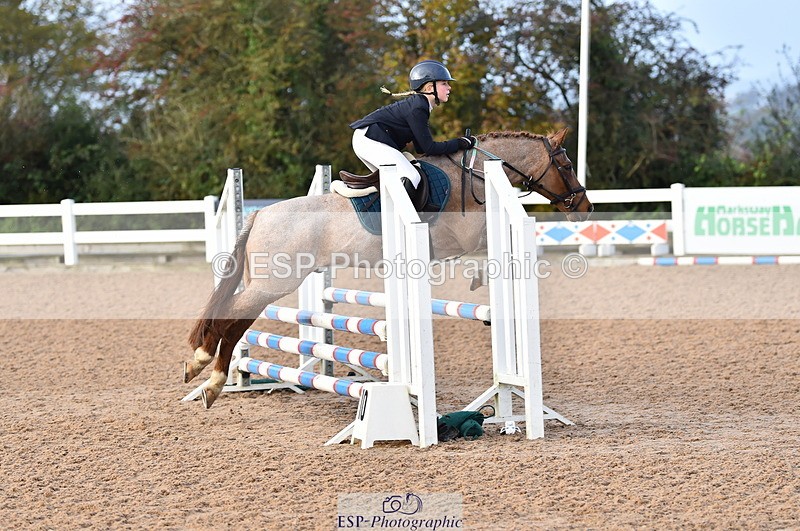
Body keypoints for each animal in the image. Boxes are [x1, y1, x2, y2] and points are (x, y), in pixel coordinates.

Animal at [184, 128, 593, 408]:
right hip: (273, 283)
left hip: (268, 284)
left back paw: (209, 375)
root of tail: (259, 214)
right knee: (229, 318)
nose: (585, 207)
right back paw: (206, 371)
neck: (475, 175)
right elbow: (486, 249)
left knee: (238, 320)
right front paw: (480, 280)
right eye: (567, 164)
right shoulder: (462, 239)